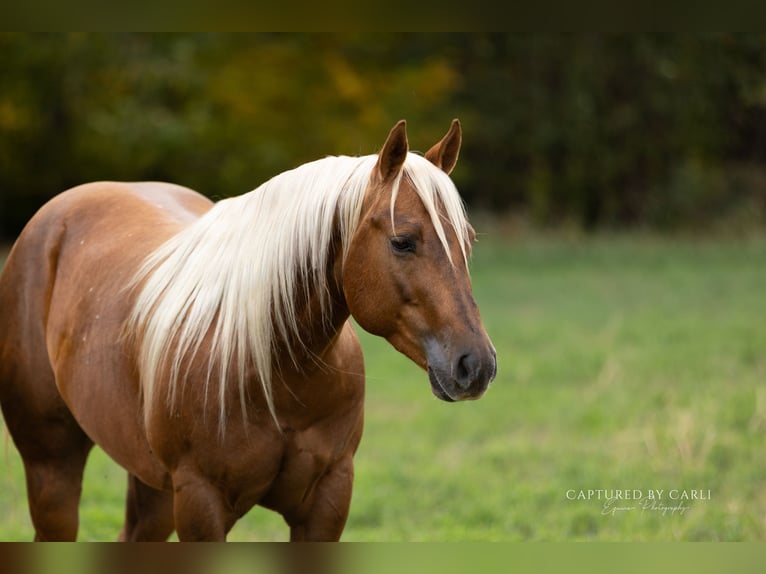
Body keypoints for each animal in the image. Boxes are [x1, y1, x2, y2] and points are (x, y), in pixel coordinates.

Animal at [0, 119, 496, 541]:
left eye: (468, 241)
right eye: (402, 241)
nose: (476, 365)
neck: (272, 370)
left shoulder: (328, 500)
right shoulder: (201, 505)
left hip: (152, 485)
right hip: (53, 469)